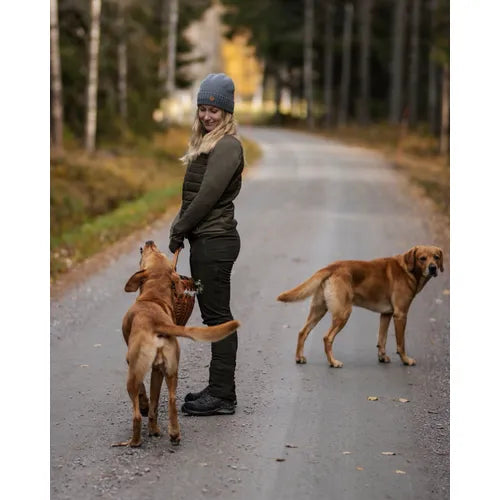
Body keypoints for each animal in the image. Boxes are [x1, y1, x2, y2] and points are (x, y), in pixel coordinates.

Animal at [114, 240, 239, 448]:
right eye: (159, 252)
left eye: (153, 251)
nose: (149, 242)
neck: (153, 297)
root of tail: (157, 323)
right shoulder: (157, 371)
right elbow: (155, 401)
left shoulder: (130, 362)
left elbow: (143, 394)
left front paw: (144, 406)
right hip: (170, 371)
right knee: (170, 401)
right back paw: (170, 433)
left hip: (134, 376)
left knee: (137, 414)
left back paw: (135, 441)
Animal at [278, 245, 446, 368]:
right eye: (422, 258)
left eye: (436, 257)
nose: (433, 268)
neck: (408, 269)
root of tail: (331, 267)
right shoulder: (400, 314)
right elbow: (401, 343)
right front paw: (406, 360)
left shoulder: (386, 315)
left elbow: (382, 339)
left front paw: (382, 357)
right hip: (343, 313)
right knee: (327, 337)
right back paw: (333, 362)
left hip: (318, 310)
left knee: (302, 332)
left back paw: (299, 357)